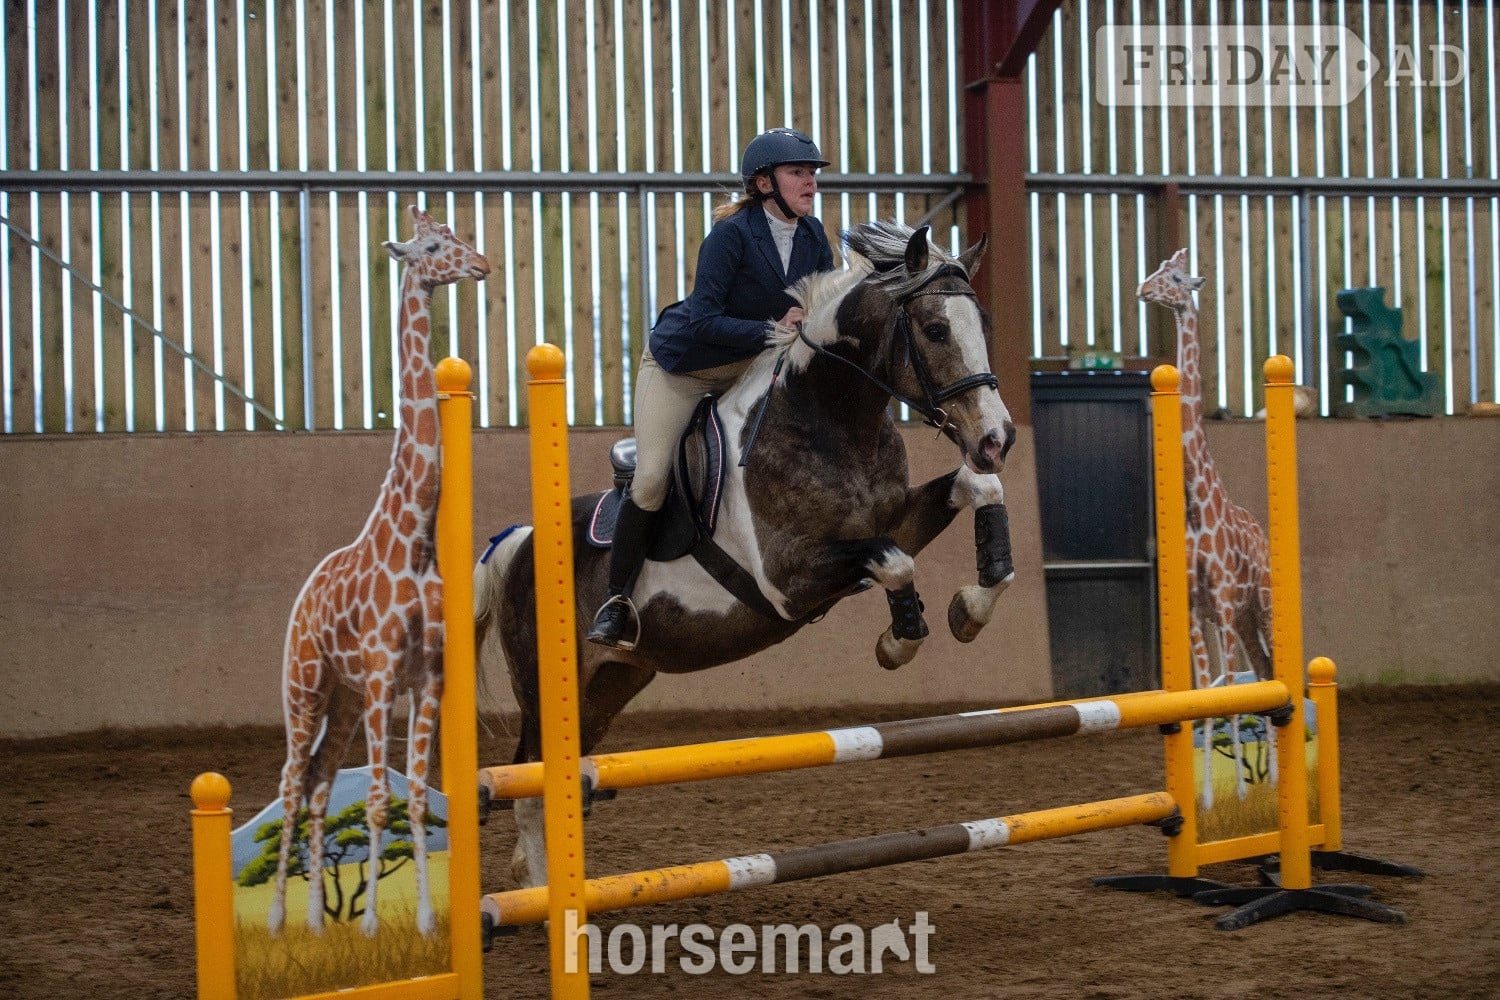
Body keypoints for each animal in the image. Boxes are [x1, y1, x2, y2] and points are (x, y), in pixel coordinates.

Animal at [475, 221, 1017, 887]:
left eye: (982, 325)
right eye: (936, 330)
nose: (997, 439)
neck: (831, 419)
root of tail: (519, 541)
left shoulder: (897, 521)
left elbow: (975, 493)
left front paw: (970, 608)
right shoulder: (788, 580)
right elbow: (894, 560)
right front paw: (900, 641)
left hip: (611, 684)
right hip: (550, 687)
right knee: (529, 785)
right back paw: (543, 893)